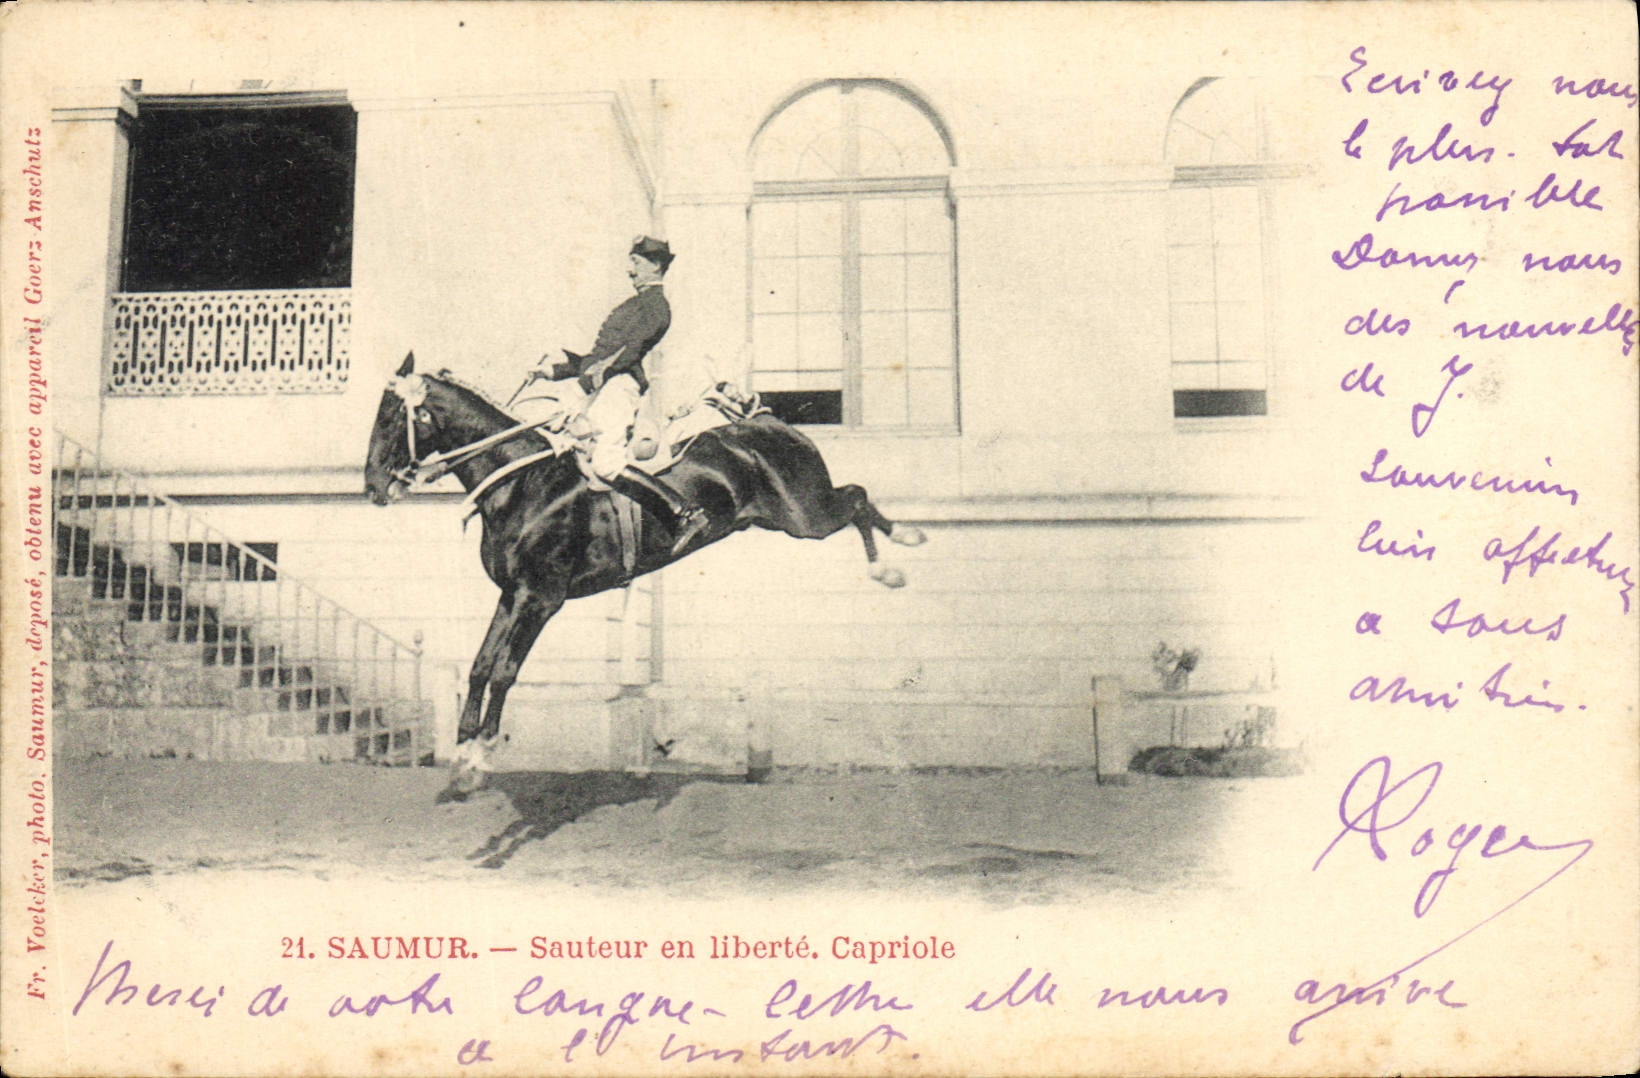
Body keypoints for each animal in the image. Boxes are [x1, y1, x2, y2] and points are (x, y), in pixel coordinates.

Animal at [364, 353, 925, 793]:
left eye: (390, 419)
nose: (371, 485)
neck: (524, 482)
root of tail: (762, 419)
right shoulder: (511, 595)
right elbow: (481, 666)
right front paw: (462, 754)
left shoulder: (540, 598)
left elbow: (504, 670)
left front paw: (481, 755)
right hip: (786, 520)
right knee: (855, 499)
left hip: (807, 516)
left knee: (855, 498)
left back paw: (898, 555)